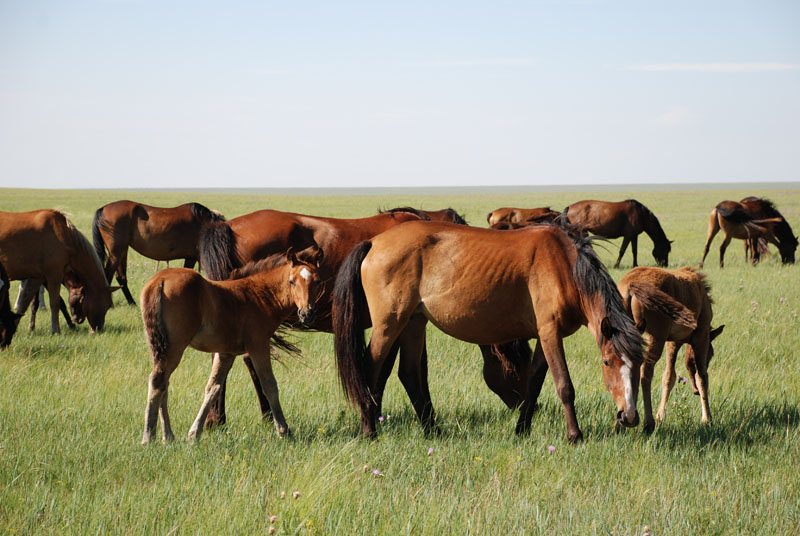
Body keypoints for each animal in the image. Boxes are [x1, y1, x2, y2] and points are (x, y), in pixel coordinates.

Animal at [93, 200, 225, 304]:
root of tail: (102, 209)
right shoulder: (192, 257)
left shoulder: (190, 258)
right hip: (116, 253)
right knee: (108, 275)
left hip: (122, 251)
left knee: (121, 277)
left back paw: (132, 303)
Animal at [141, 247, 324, 444]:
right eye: (292, 281)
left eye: (317, 281)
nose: (306, 314)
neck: (259, 296)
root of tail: (160, 280)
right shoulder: (258, 345)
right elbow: (269, 385)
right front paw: (283, 430)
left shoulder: (225, 353)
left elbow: (213, 388)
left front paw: (194, 433)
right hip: (175, 346)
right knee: (158, 381)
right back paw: (149, 437)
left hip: (159, 347)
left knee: (164, 384)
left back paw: (168, 436)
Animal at [332, 220, 644, 442]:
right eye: (607, 362)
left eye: (639, 364)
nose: (629, 416)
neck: (564, 266)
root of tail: (373, 242)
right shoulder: (549, 333)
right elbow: (564, 385)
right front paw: (575, 435)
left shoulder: (543, 337)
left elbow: (533, 383)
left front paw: (521, 430)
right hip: (389, 324)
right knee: (369, 370)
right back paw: (369, 431)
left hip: (414, 322)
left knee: (409, 374)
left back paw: (433, 432)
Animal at [616, 266, 720, 434]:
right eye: (711, 354)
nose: (695, 391)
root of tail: (631, 285)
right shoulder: (701, 336)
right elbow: (702, 377)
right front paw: (707, 418)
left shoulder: (673, 341)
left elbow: (669, 377)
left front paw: (660, 415)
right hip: (654, 338)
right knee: (645, 374)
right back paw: (647, 422)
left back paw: (623, 420)